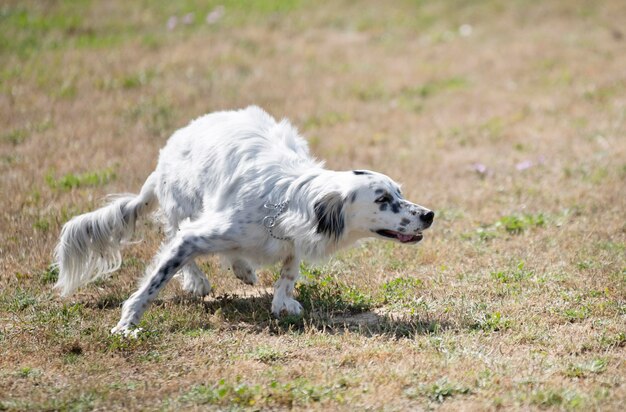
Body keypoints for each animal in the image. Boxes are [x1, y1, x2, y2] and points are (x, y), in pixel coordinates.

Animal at [53, 106, 432, 334]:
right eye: (382, 199)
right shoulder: (198, 234)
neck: (288, 200)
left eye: (399, 191)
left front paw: (281, 301)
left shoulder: (291, 240)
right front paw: (127, 323)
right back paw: (199, 280)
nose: (429, 215)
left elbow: (288, 272)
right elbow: (155, 280)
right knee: (175, 236)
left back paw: (243, 268)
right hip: (184, 206)